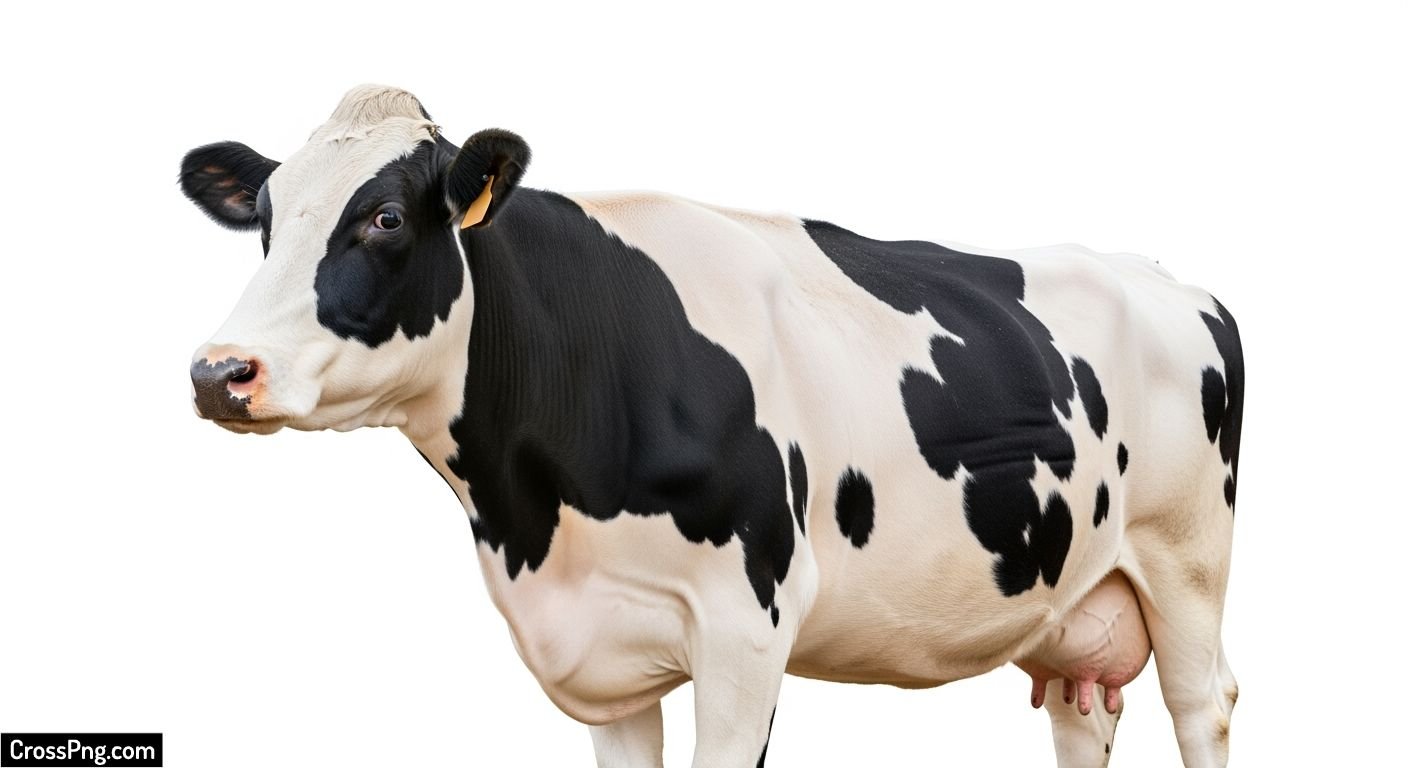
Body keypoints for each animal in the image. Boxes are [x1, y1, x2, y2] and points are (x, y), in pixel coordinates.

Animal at [181, 85, 1243, 767]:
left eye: (387, 219)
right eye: (266, 220)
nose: (219, 372)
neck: (536, 521)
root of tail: (1161, 274)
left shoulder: (746, 629)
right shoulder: (605, 651)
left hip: (1187, 567)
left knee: (1204, 706)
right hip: (1073, 603)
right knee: (1080, 719)